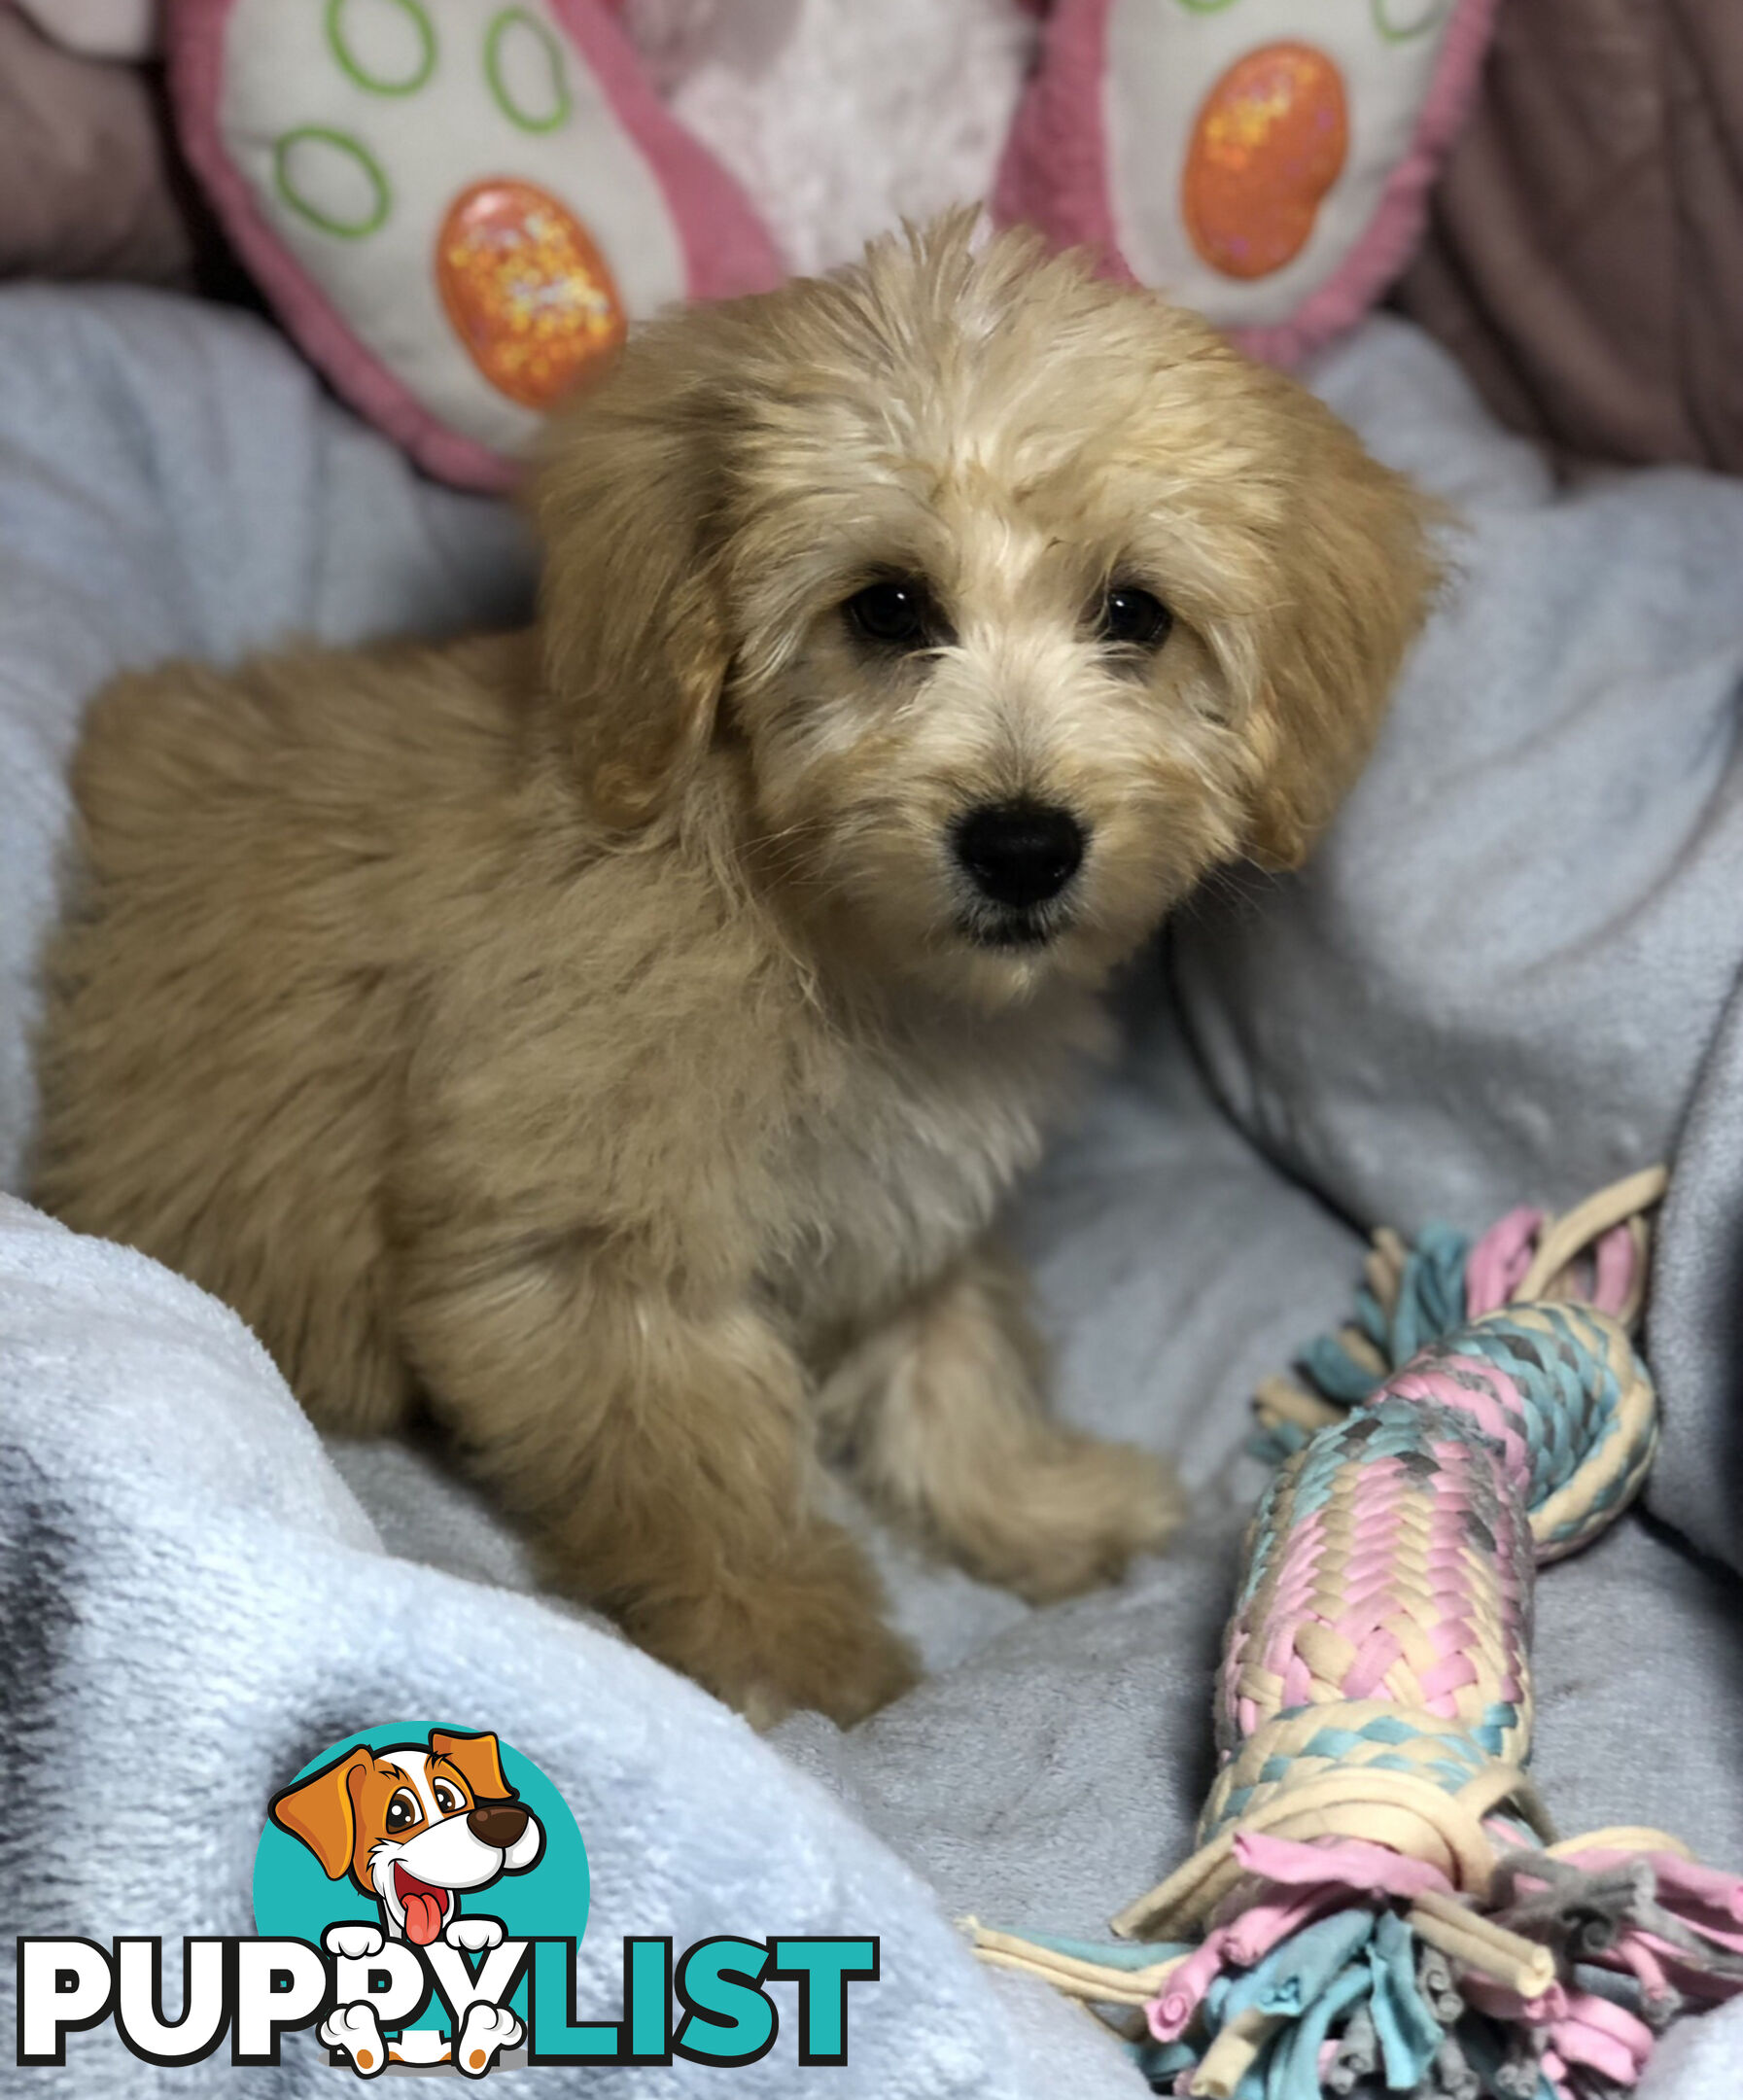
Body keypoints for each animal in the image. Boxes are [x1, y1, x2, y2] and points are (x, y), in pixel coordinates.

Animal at [34, 217, 1436, 1722]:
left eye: (1135, 613)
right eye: (885, 608)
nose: (1021, 844)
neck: (798, 915)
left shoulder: (905, 1201)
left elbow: (950, 1357)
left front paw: (1033, 1506)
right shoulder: (587, 1255)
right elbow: (690, 1470)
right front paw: (794, 1656)